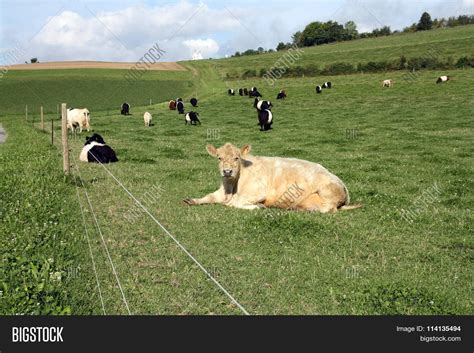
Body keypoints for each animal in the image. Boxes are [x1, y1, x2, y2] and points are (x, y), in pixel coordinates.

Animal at [183, 142, 362, 212]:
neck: (231, 188)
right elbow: (209, 197)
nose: (227, 172)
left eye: (236, 158)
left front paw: (258, 206)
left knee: (328, 209)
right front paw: (192, 200)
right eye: (219, 158)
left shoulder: (257, 192)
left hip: (326, 191)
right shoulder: (221, 191)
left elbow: (233, 204)